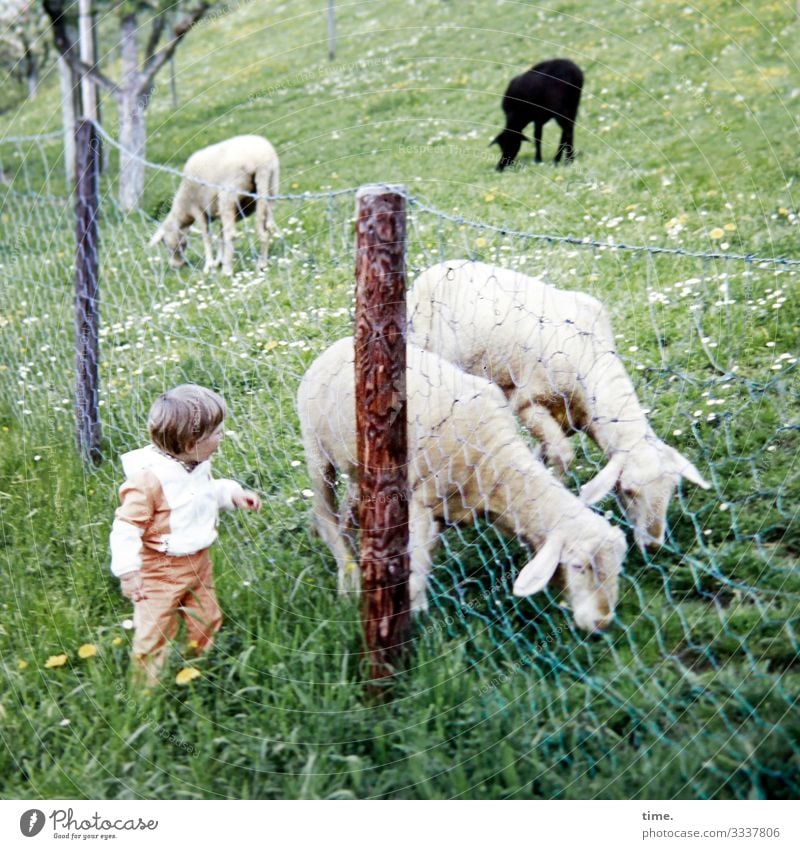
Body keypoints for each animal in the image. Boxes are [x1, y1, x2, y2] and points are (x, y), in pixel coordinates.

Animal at [148, 134, 280, 276]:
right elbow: (220, 235)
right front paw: (218, 261)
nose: (176, 266)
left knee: (231, 234)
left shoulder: (198, 209)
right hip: (271, 188)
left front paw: (209, 266)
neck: (183, 210)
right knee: (266, 229)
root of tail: (262, 161)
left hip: (228, 196)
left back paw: (227, 271)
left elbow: (207, 237)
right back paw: (262, 264)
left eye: (165, 245)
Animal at [296, 334, 628, 632]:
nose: (602, 623)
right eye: (578, 566)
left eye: (618, 566)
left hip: (360, 463)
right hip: (316, 450)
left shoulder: (455, 509)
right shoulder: (421, 501)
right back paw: (347, 582)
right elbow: (418, 566)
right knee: (324, 514)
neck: (495, 461)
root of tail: (336, 345)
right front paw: (414, 619)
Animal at [410, 255, 708, 552]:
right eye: (628, 491)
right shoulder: (527, 402)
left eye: (673, 488)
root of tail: (440, 266)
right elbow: (563, 455)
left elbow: (546, 451)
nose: (653, 545)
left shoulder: (569, 416)